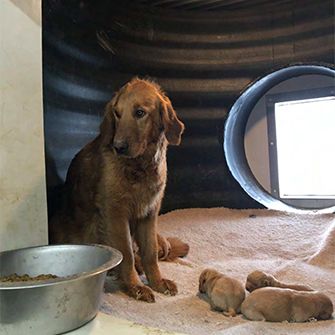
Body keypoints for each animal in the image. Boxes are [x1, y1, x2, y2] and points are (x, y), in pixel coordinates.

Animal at [49, 77, 189, 304]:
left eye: (140, 113)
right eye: (117, 113)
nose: (118, 146)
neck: (139, 167)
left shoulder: (149, 213)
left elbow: (149, 252)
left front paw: (157, 282)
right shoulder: (115, 213)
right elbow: (126, 253)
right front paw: (135, 286)